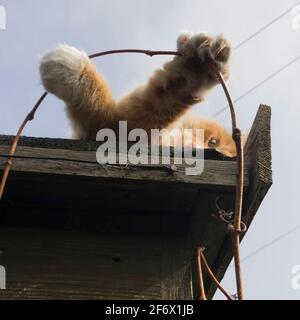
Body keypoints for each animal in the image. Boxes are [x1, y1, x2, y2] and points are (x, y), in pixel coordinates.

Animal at [39, 31, 237, 157]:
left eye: (228, 155)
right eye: (213, 142)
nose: (203, 149)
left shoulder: (116, 131)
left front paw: (73, 70)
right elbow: (162, 99)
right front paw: (196, 68)